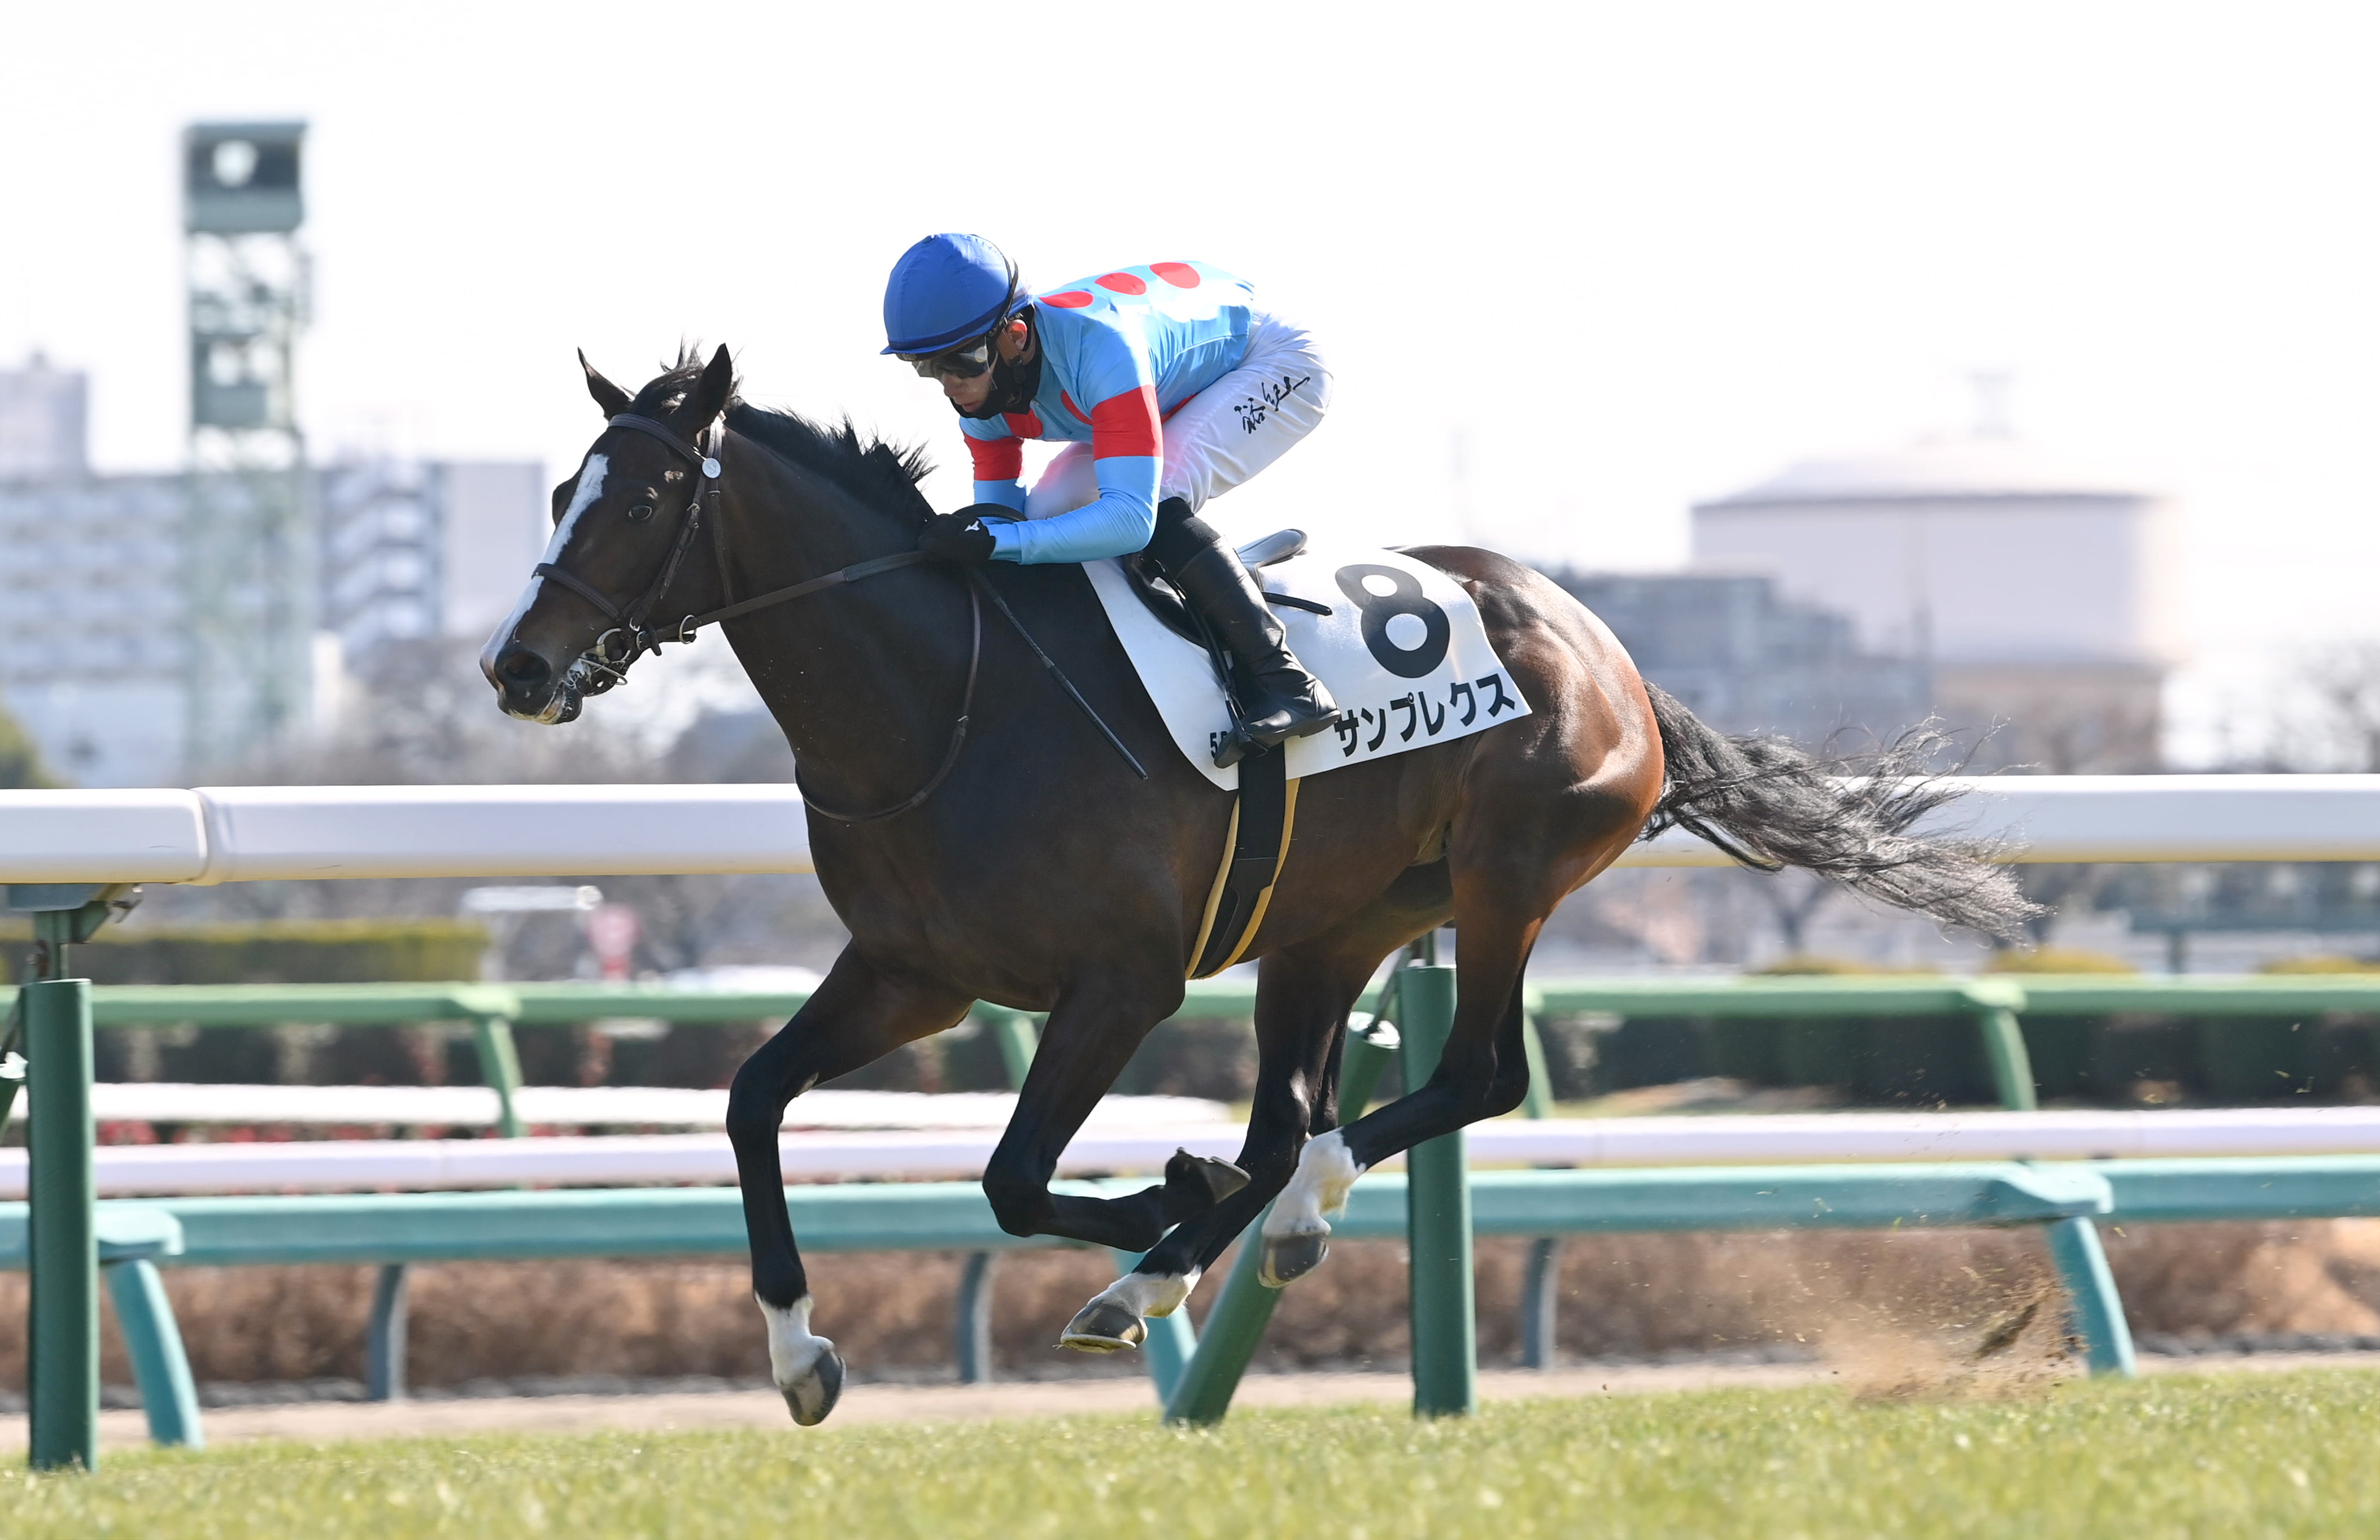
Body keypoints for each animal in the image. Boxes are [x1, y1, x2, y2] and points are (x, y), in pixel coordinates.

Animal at [481, 346, 2035, 1425]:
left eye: (649, 494)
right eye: (561, 492)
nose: (517, 664)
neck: (945, 706)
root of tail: (1608, 650)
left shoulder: (1122, 985)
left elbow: (1016, 1177)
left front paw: (1170, 1203)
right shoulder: (914, 973)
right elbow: (754, 1098)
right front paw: (800, 1350)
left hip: (1507, 874)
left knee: (1469, 1077)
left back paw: (1222, 1235)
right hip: (1336, 923)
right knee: (1306, 1111)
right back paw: (1237, 1229)